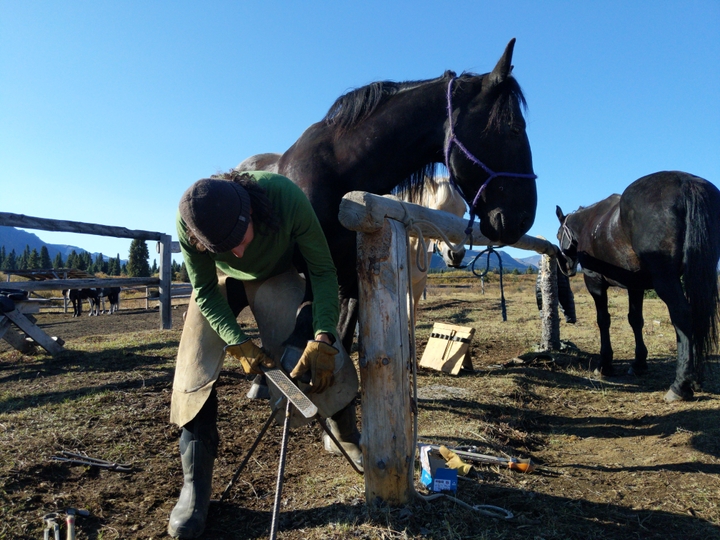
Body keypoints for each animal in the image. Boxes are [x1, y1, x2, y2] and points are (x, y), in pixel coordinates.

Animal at [239, 39, 536, 350]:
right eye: (514, 129)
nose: (524, 219)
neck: (337, 175)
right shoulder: (315, 274)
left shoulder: (350, 279)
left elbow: (341, 338)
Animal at [556, 171, 720, 402]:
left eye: (558, 235)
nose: (565, 267)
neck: (590, 223)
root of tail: (687, 183)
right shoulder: (635, 286)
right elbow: (636, 320)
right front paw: (639, 364)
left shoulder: (595, 283)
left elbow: (603, 320)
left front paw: (605, 364)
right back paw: (694, 378)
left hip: (666, 280)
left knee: (683, 315)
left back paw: (680, 385)